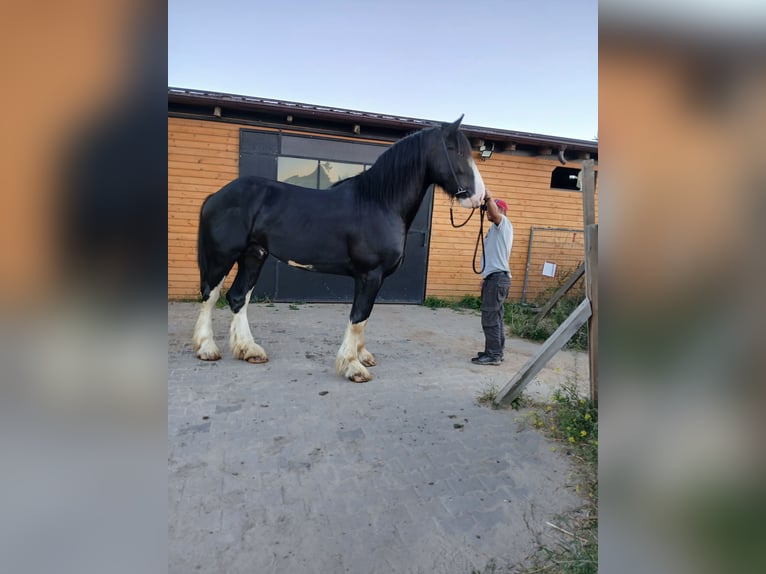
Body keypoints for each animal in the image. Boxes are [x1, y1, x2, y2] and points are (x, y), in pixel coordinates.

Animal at [195, 115, 488, 384]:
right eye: (455, 150)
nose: (479, 197)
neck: (379, 202)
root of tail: (215, 196)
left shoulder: (375, 278)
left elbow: (365, 317)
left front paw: (362, 356)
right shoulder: (370, 274)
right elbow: (358, 316)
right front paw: (353, 366)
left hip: (253, 256)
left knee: (238, 297)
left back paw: (249, 350)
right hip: (222, 257)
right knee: (210, 296)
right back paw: (207, 348)